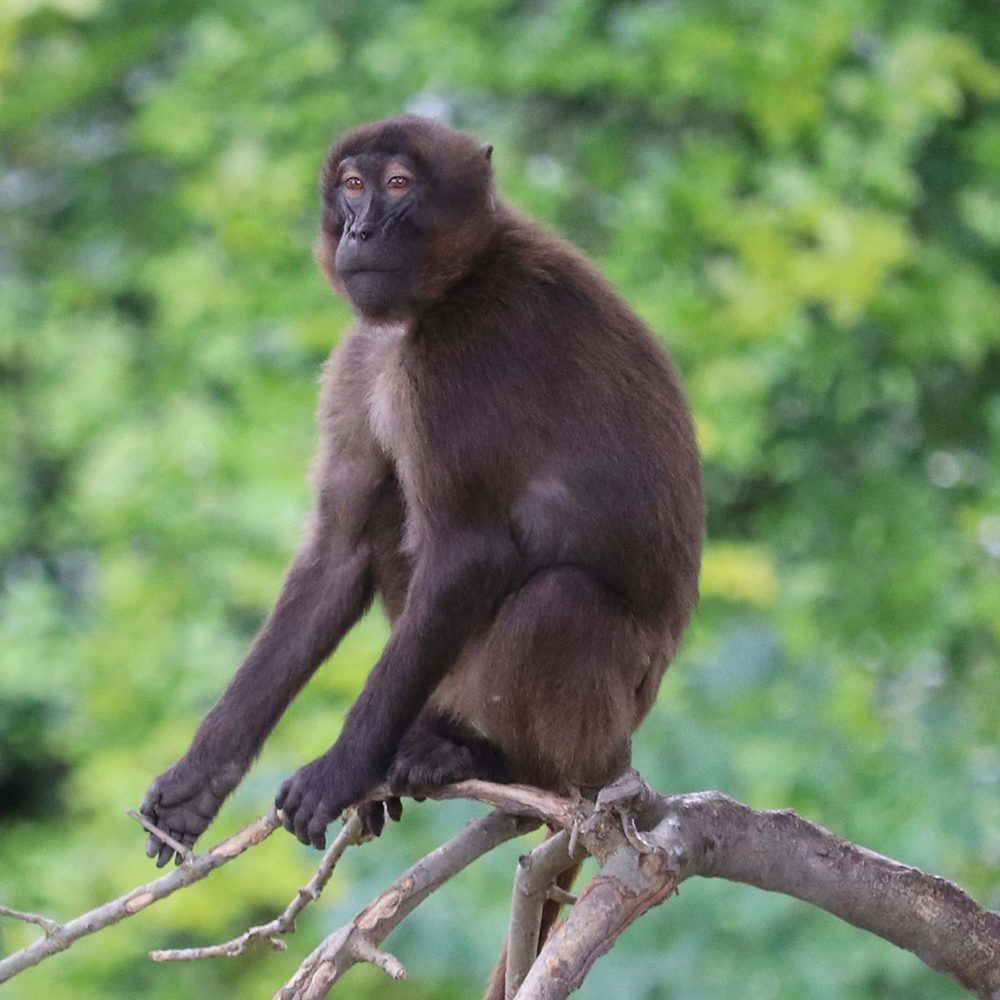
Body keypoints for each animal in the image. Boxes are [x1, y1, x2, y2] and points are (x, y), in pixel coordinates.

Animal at [141, 113, 704, 872]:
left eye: (399, 184)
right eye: (353, 186)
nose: (360, 232)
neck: (450, 287)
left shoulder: (461, 360)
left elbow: (469, 552)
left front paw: (342, 769)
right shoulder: (363, 354)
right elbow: (339, 549)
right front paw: (199, 779)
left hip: (612, 711)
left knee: (560, 600)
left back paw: (503, 764)